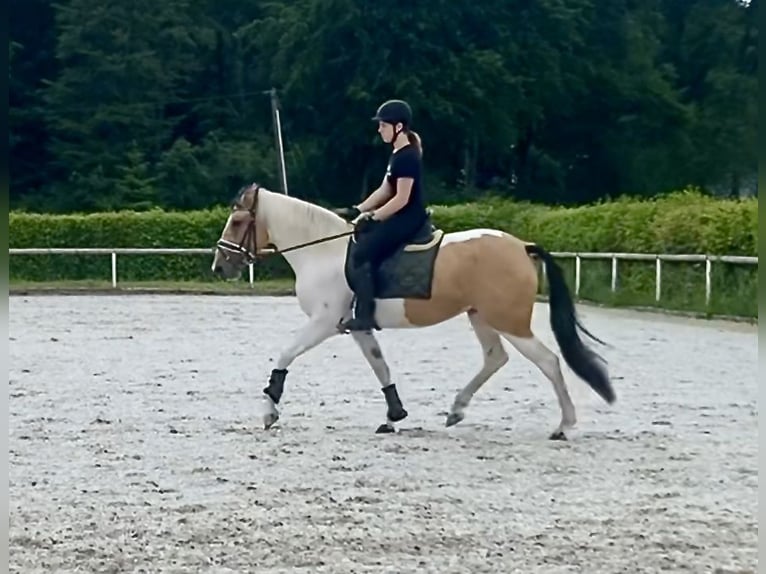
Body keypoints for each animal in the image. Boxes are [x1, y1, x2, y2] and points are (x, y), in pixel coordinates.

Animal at [212, 184, 616, 440]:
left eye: (237, 222)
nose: (220, 266)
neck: (322, 251)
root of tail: (521, 246)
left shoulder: (324, 322)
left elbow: (285, 355)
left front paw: (269, 410)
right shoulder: (357, 326)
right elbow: (381, 367)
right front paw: (394, 417)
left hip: (509, 321)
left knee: (548, 361)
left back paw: (564, 426)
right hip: (481, 315)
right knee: (495, 358)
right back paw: (456, 410)